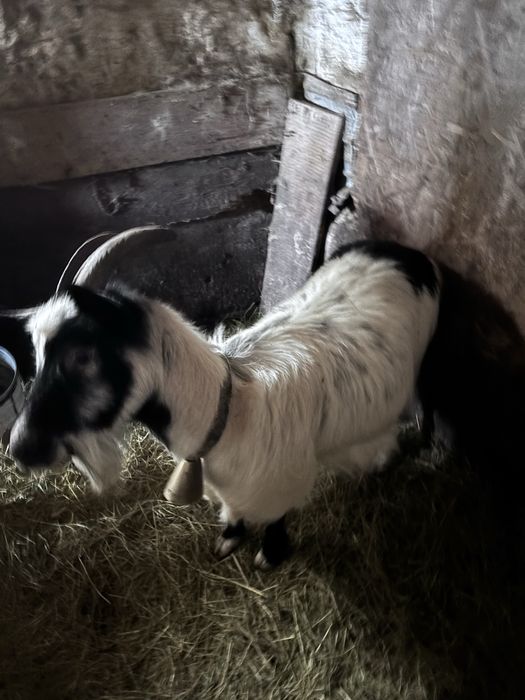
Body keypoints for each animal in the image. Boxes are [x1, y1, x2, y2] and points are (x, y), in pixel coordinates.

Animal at [10, 240, 440, 567]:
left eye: (82, 357)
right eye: (37, 354)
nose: (18, 448)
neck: (228, 407)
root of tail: (402, 251)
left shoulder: (280, 482)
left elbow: (276, 518)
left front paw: (271, 554)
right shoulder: (229, 487)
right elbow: (233, 512)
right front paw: (230, 538)